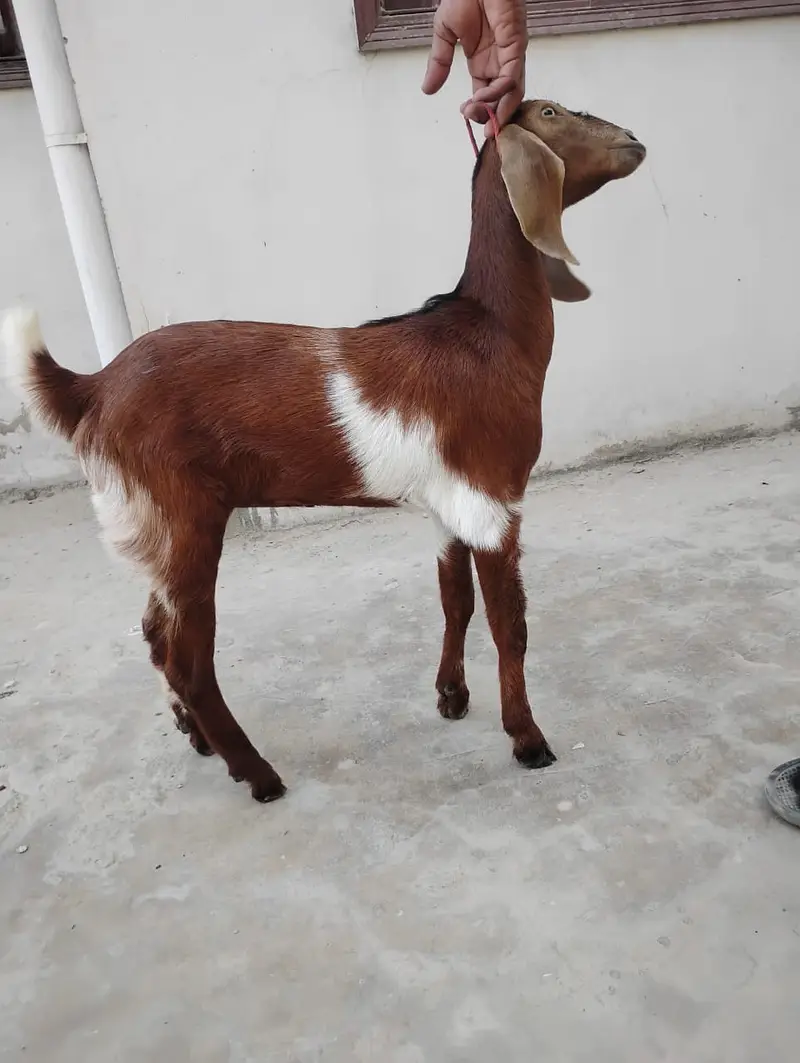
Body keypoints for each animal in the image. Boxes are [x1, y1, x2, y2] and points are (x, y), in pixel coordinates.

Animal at [3, 100, 646, 803]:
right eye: (552, 111)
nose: (634, 141)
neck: (489, 333)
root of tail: (91, 389)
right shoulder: (492, 494)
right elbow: (512, 623)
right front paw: (527, 739)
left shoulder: (448, 501)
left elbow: (455, 598)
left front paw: (451, 696)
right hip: (184, 520)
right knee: (187, 659)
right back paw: (257, 775)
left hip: (154, 530)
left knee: (152, 633)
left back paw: (198, 738)